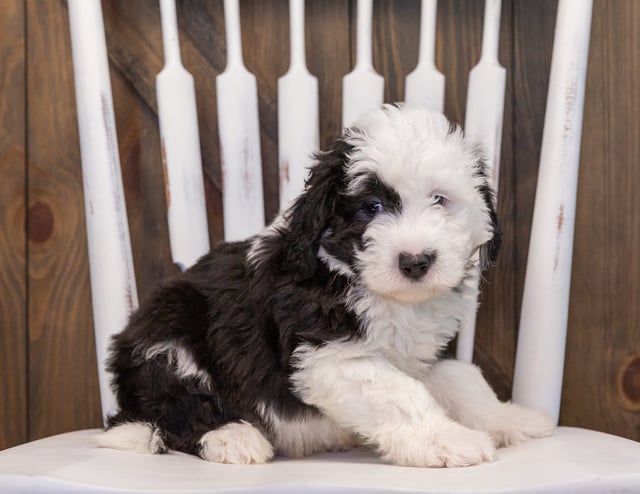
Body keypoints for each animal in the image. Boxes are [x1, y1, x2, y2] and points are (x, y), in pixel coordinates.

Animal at [97, 104, 552, 466]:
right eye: (372, 207)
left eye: (440, 200)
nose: (415, 262)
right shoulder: (325, 356)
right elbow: (398, 393)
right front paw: (447, 440)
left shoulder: (422, 353)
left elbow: (463, 378)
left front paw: (509, 418)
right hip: (168, 330)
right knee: (175, 407)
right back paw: (233, 436)